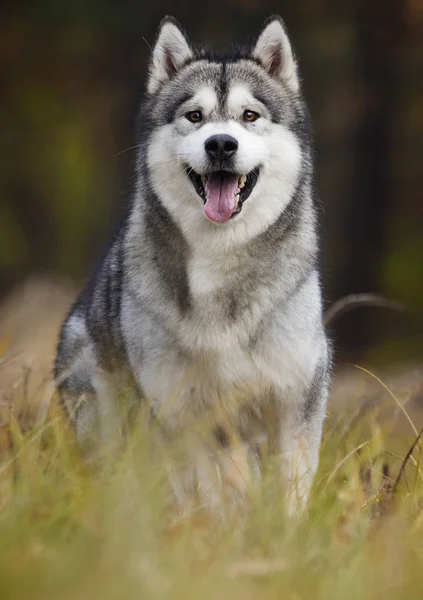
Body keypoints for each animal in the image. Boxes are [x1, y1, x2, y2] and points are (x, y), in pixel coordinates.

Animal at [55, 14, 332, 510]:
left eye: (249, 116)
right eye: (195, 116)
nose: (221, 144)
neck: (220, 261)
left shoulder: (296, 396)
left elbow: (291, 487)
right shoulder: (188, 412)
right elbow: (219, 489)